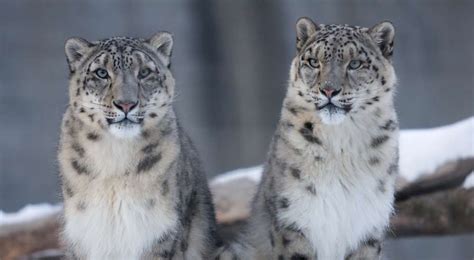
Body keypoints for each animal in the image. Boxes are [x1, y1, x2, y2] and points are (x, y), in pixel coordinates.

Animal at [218, 17, 400, 260]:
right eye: (314, 62)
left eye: (355, 64)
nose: (329, 90)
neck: (341, 144)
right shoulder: (293, 220)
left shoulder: (368, 227)